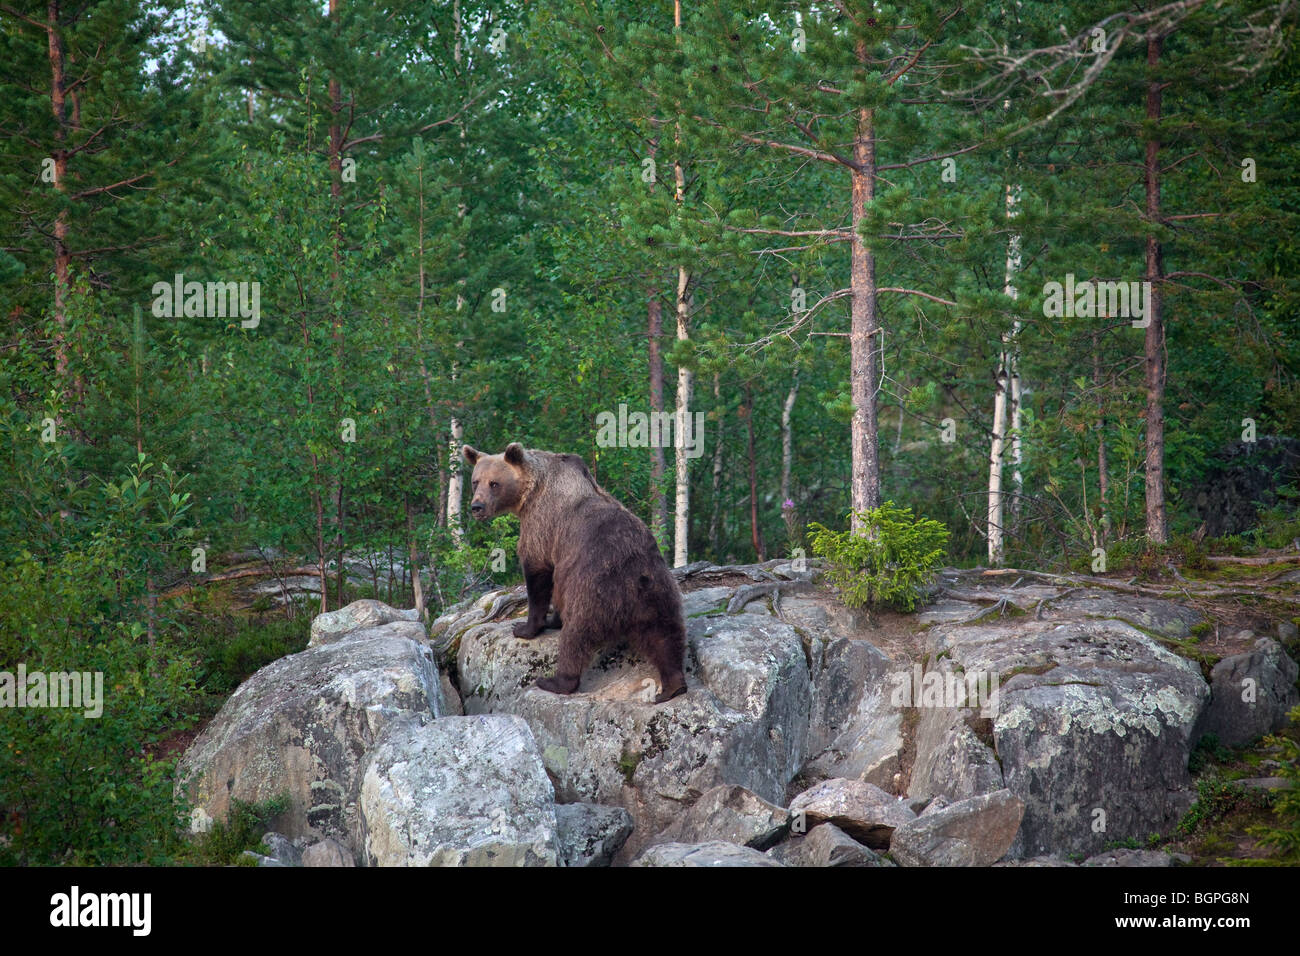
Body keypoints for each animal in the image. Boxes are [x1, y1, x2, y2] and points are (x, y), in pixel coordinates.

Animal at [465, 442, 691, 702]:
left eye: (494, 483)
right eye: (475, 481)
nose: (477, 507)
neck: (532, 492)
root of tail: (633, 581)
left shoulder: (541, 525)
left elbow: (537, 573)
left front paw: (526, 628)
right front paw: (552, 619)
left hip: (591, 591)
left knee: (575, 637)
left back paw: (553, 681)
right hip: (660, 592)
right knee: (665, 636)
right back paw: (673, 686)